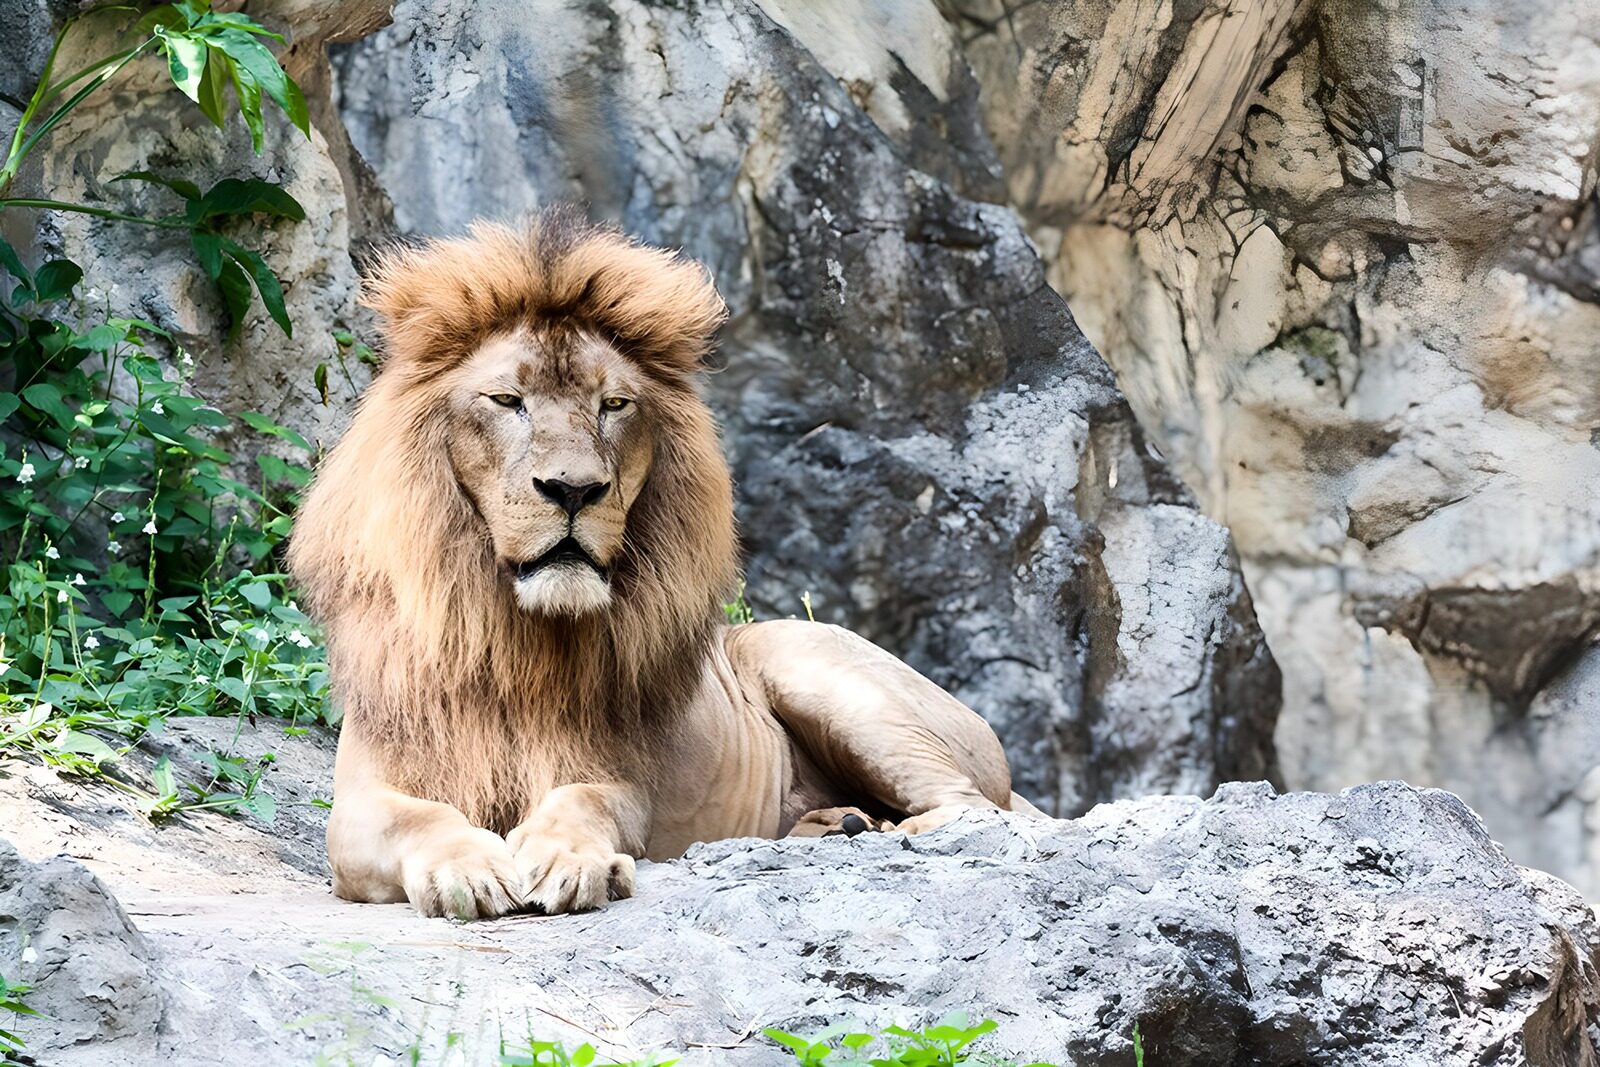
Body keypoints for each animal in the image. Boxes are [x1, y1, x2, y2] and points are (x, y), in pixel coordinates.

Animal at [288, 209, 1039, 919]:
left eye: (613, 404)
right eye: (507, 400)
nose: (574, 489)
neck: (515, 635)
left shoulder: (619, 780)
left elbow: (584, 801)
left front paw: (571, 861)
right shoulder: (358, 804)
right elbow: (417, 817)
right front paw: (466, 869)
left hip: (815, 668)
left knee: (980, 811)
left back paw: (880, 831)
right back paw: (836, 824)